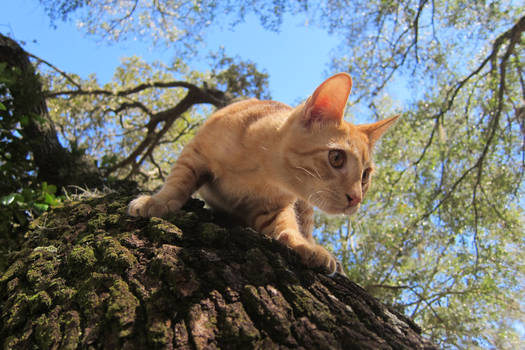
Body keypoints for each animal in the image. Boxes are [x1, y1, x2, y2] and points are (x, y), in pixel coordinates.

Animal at [130, 73, 398, 276]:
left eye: (365, 176)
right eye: (337, 158)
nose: (356, 199)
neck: (259, 173)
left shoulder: (277, 207)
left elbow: (288, 226)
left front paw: (305, 246)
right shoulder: (194, 153)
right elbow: (178, 181)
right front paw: (158, 201)